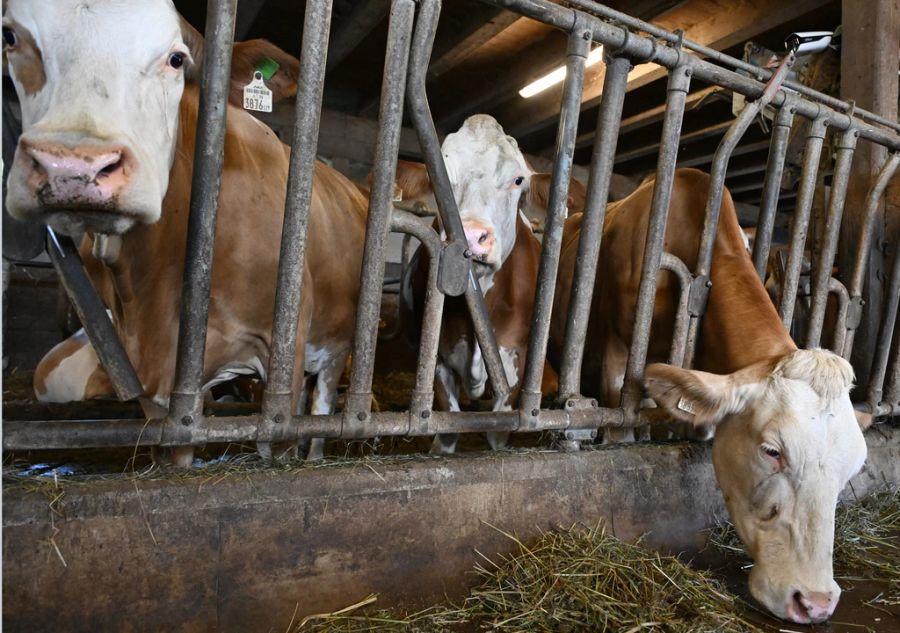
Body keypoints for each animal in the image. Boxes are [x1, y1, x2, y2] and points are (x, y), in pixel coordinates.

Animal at [4, 0, 370, 464]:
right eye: (10, 37)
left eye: (176, 59)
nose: (74, 165)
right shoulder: (165, 394)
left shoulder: (282, 354)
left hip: (335, 346)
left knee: (321, 409)